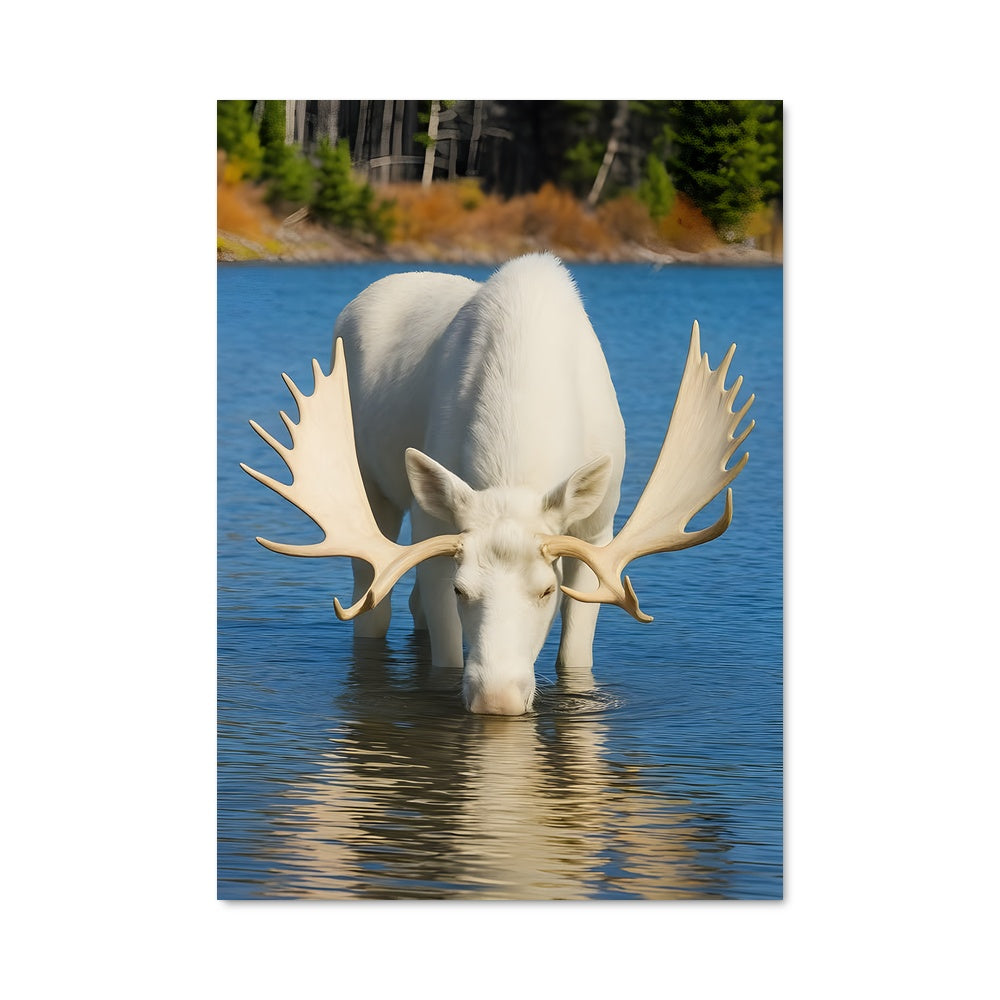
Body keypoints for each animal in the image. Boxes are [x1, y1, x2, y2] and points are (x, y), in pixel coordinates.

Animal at [242, 253, 754, 715]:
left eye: (547, 590)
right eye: (461, 590)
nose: (498, 698)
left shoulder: (596, 531)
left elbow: (575, 655)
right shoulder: (433, 529)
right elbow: (446, 658)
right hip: (372, 489)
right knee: (373, 604)